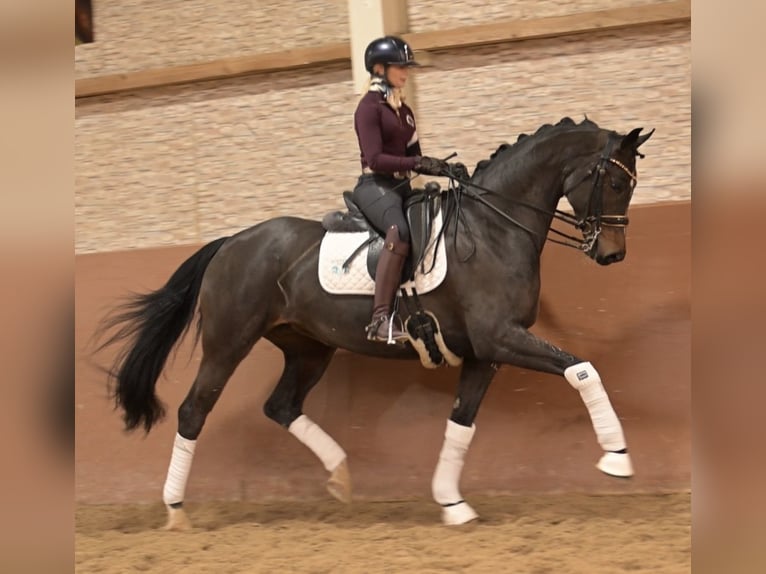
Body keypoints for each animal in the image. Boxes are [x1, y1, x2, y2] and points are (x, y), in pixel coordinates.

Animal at [97, 116, 653, 528]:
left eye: (631, 182)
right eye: (615, 181)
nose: (612, 254)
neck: (493, 226)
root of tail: (231, 241)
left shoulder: (485, 352)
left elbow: (461, 422)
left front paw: (452, 503)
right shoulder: (502, 339)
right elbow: (581, 368)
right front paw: (617, 457)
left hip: (308, 347)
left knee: (281, 406)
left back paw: (341, 474)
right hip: (228, 342)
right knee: (194, 411)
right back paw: (175, 511)